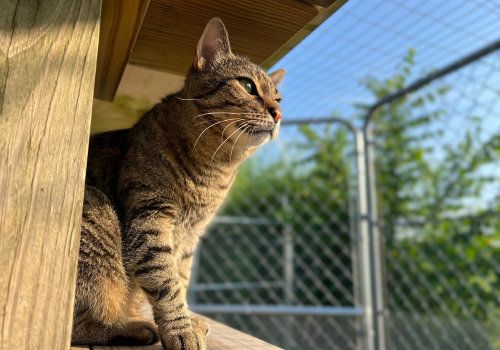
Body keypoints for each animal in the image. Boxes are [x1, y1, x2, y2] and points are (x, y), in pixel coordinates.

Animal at [73, 17, 288, 350]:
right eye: (247, 86)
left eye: (278, 98)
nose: (278, 113)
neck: (214, 169)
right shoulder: (151, 217)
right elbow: (166, 281)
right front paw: (180, 329)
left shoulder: (189, 238)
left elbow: (181, 279)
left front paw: (188, 320)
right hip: (98, 211)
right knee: (78, 324)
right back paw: (131, 326)